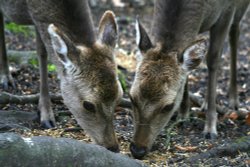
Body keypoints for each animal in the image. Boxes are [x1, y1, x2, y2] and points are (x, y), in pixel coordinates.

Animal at [0, 0, 123, 151]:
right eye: (88, 105)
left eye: (120, 97)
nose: (113, 147)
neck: (31, 7)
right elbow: (42, 51)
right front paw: (46, 116)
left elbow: (42, 50)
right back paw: (6, 77)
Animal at [130, 0, 249, 159]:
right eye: (131, 97)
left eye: (168, 106)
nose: (137, 150)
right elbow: (188, 66)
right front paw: (183, 115)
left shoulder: (227, 12)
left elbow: (213, 59)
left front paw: (210, 128)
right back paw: (205, 103)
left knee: (235, 31)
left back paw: (233, 101)